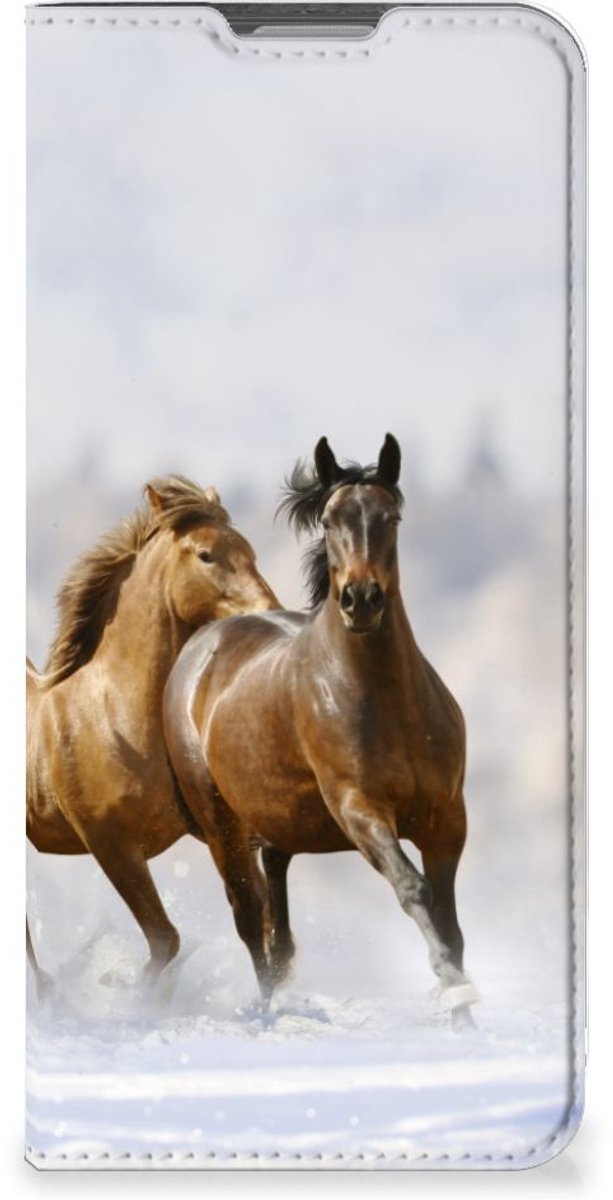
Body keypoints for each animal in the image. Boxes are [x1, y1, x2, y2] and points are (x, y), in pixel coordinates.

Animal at [27, 475, 279, 988]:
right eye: (205, 555)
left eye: (249, 550)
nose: (270, 611)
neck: (114, 717)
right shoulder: (112, 846)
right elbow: (166, 940)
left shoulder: (221, 832)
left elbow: (254, 919)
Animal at [163, 436, 479, 1030]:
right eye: (331, 520)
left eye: (390, 517)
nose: (361, 599)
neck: (386, 702)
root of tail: (201, 645)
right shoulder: (359, 810)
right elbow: (414, 889)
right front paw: (454, 989)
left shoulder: (446, 817)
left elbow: (450, 919)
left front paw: (465, 1014)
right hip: (222, 827)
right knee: (250, 918)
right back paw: (268, 1011)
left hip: (278, 826)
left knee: (276, 919)